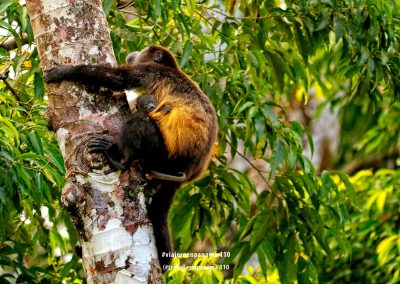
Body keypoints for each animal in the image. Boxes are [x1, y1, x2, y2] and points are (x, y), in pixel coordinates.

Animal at [43, 45, 219, 270]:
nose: (132, 53)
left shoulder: (150, 70)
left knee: (140, 120)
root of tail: (187, 174)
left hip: (162, 156)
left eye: (143, 50)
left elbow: (119, 78)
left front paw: (65, 71)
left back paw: (122, 160)